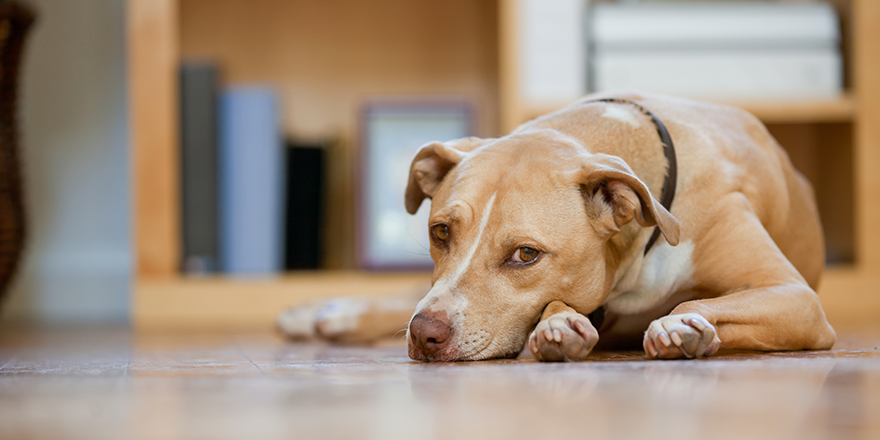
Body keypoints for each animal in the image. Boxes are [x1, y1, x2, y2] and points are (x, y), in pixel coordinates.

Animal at [278, 89, 836, 360]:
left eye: (526, 255)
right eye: (441, 232)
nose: (424, 334)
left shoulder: (796, 297)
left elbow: (694, 303)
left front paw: (681, 326)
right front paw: (558, 325)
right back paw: (327, 314)